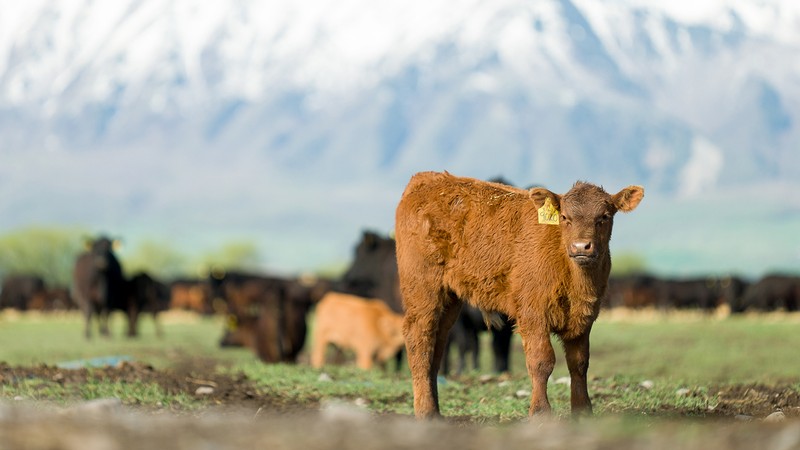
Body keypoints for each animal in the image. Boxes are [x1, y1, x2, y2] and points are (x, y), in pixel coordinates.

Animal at [395, 171, 643, 418]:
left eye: (604, 216)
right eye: (564, 217)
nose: (581, 246)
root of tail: (426, 179)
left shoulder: (584, 317)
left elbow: (579, 363)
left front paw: (582, 412)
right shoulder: (533, 314)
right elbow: (541, 361)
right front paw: (540, 412)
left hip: (449, 299)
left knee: (436, 346)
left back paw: (436, 411)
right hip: (423, 291)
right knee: (419, 339)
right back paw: (426, 411)